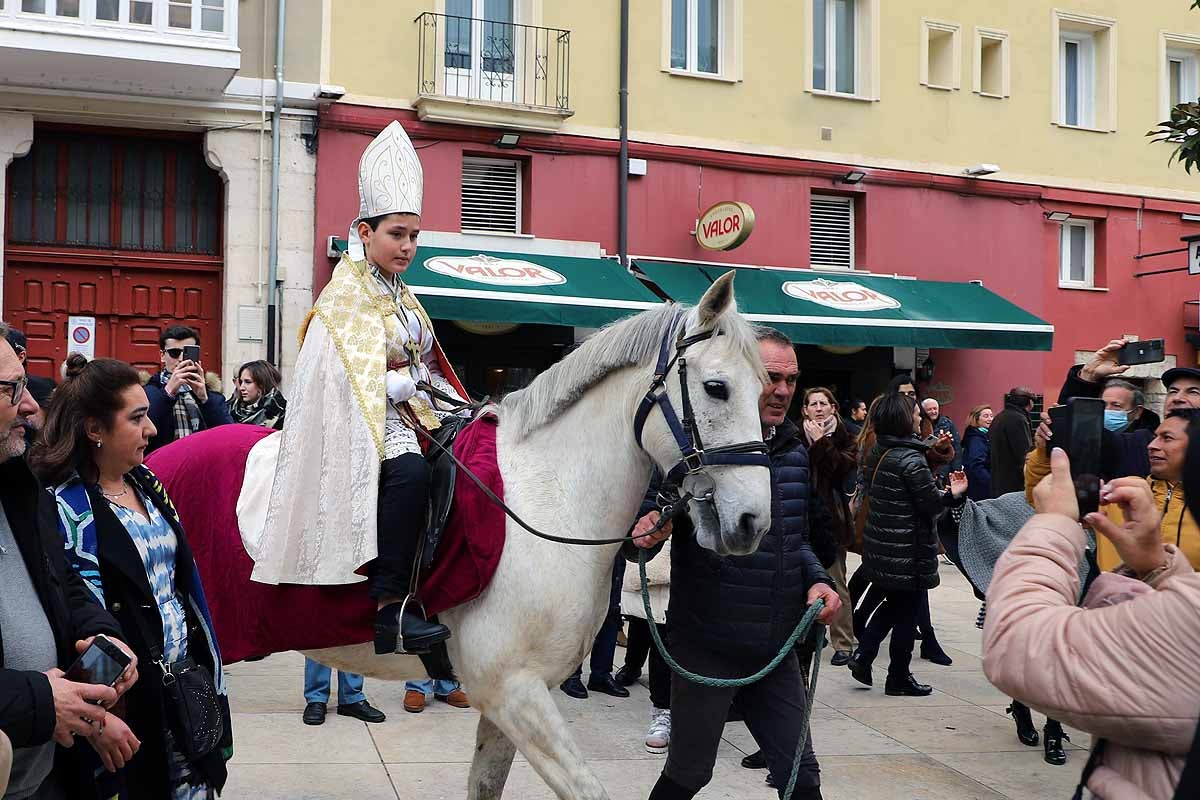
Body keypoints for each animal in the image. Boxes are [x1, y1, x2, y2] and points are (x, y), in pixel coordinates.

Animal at [157, 272, 768, 796]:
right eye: (716, 388)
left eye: (764, 391)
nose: (751, 523)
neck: (550, 496)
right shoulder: (515, 692)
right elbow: (586, 789)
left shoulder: (512, 700)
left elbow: (485, 784)